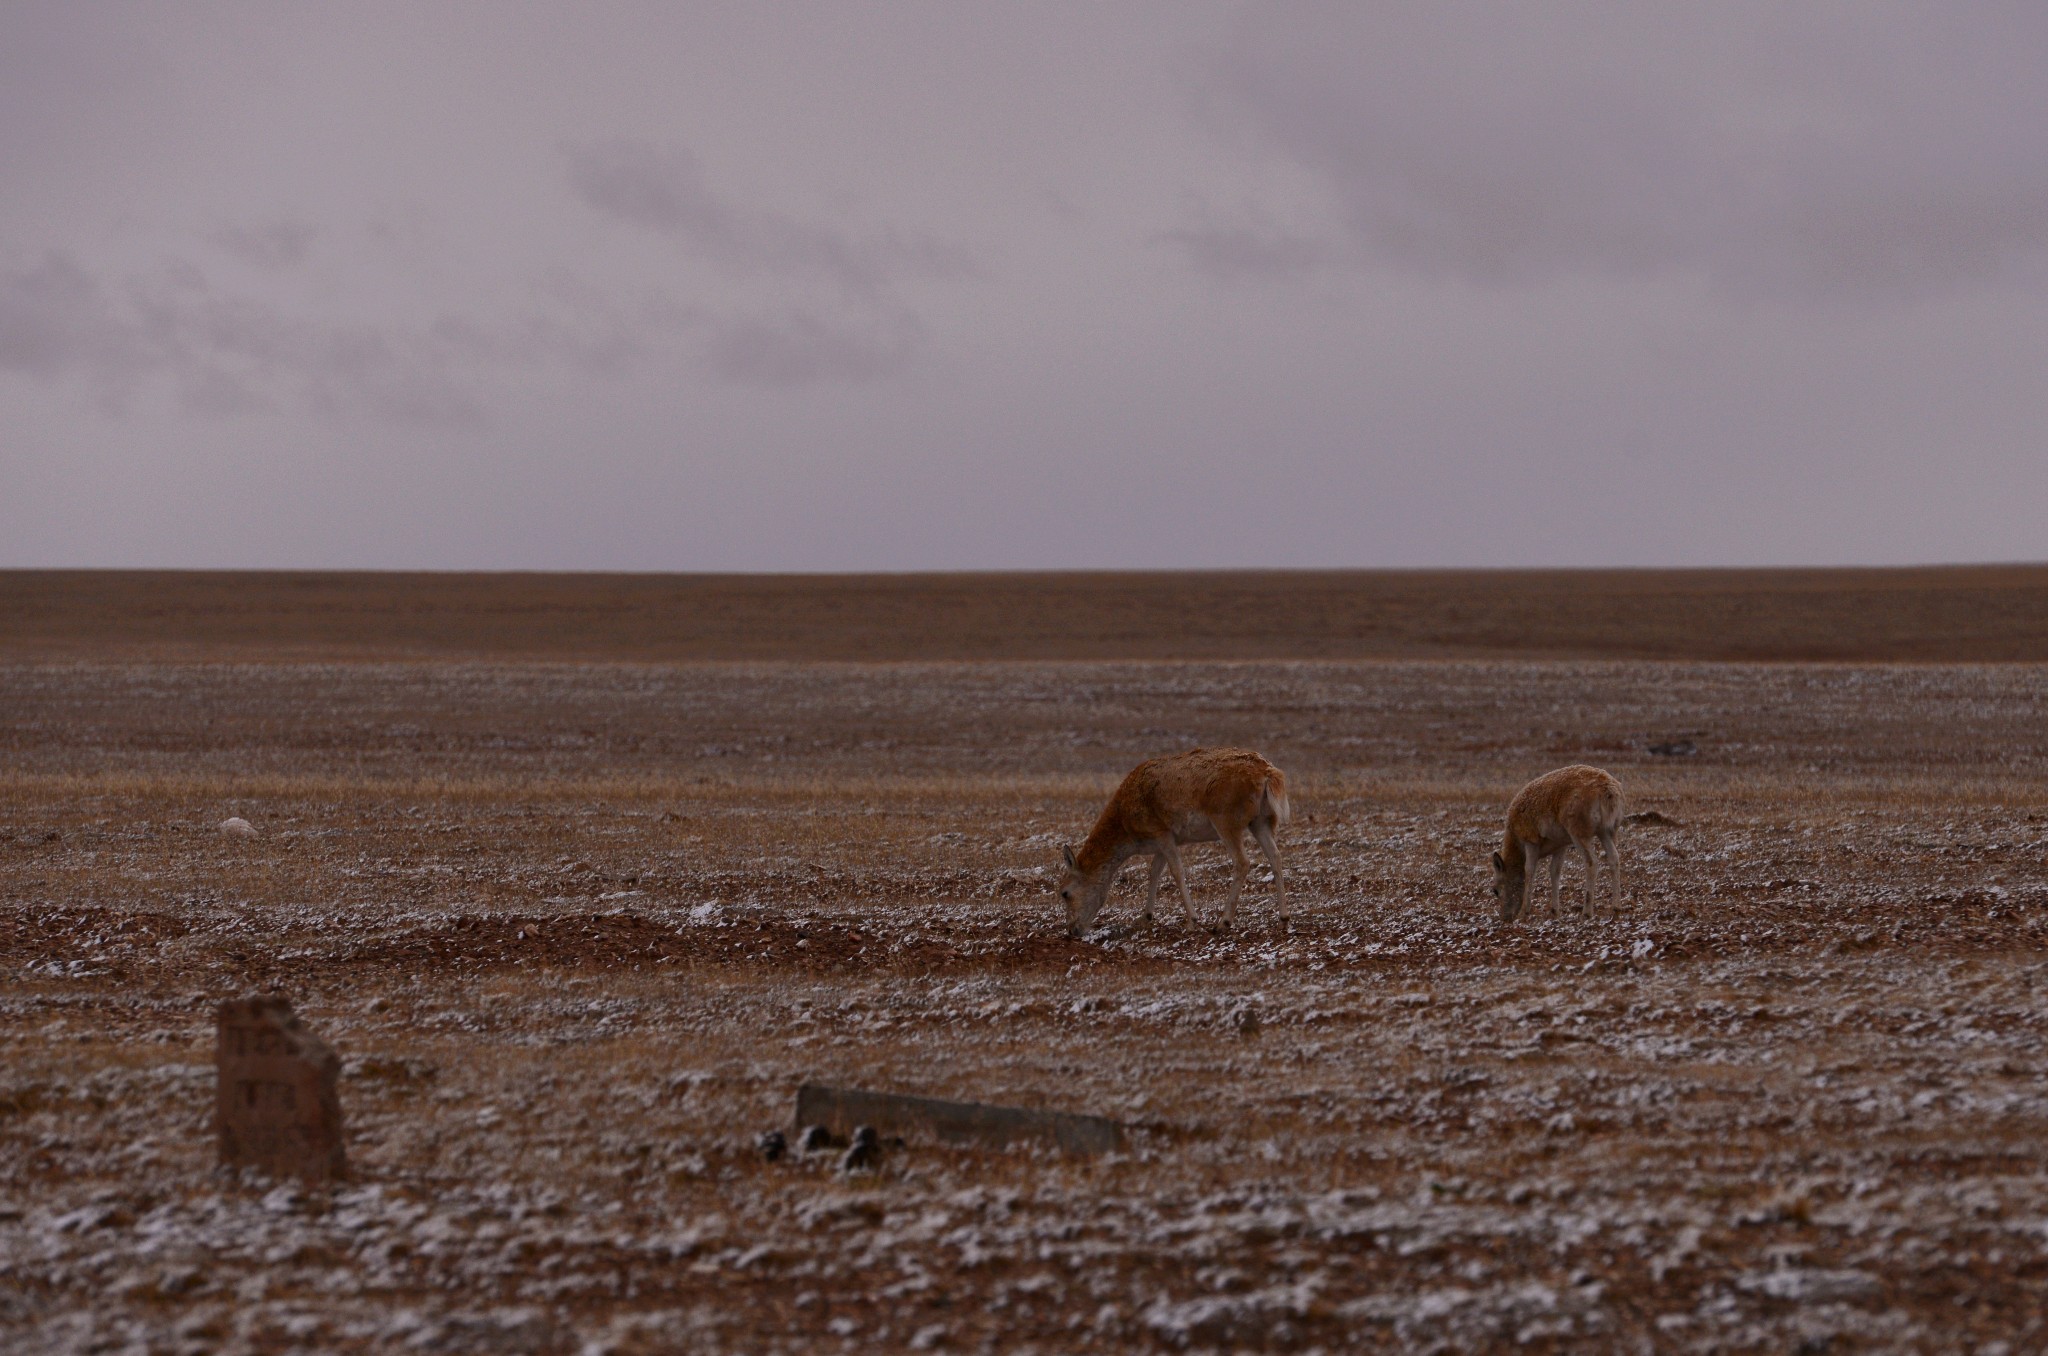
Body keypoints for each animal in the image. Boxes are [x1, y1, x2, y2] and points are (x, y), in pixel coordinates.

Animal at [1055, 747, 1290, 938]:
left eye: (1065, 892)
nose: (1071, 929)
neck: (1127, 831)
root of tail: (1269, 773)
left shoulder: (1161, 833)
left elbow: (1176, 871)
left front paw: (1192, 921)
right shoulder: (1164, 841)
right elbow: (1154, 872)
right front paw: (1145, 917)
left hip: (1226, 821)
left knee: (1242, 861)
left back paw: (1222, 922)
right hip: (1261, 821)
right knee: (1276, 855)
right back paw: (1283, 918)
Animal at [1489, 765, 1625, 923]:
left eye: (1495, 890)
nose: (1505, 917)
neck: (1516, 842)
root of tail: (1609, 791)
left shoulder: (1530, 841)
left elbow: (1529, 871)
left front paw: (1524, 912)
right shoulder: (1561, 845)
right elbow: (1554, 871)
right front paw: (1555, 911)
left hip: (1579, 833)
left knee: (1592, 862)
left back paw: (1586, 912)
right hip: (1606, 831)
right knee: (1614, 858)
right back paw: (1616, 907)